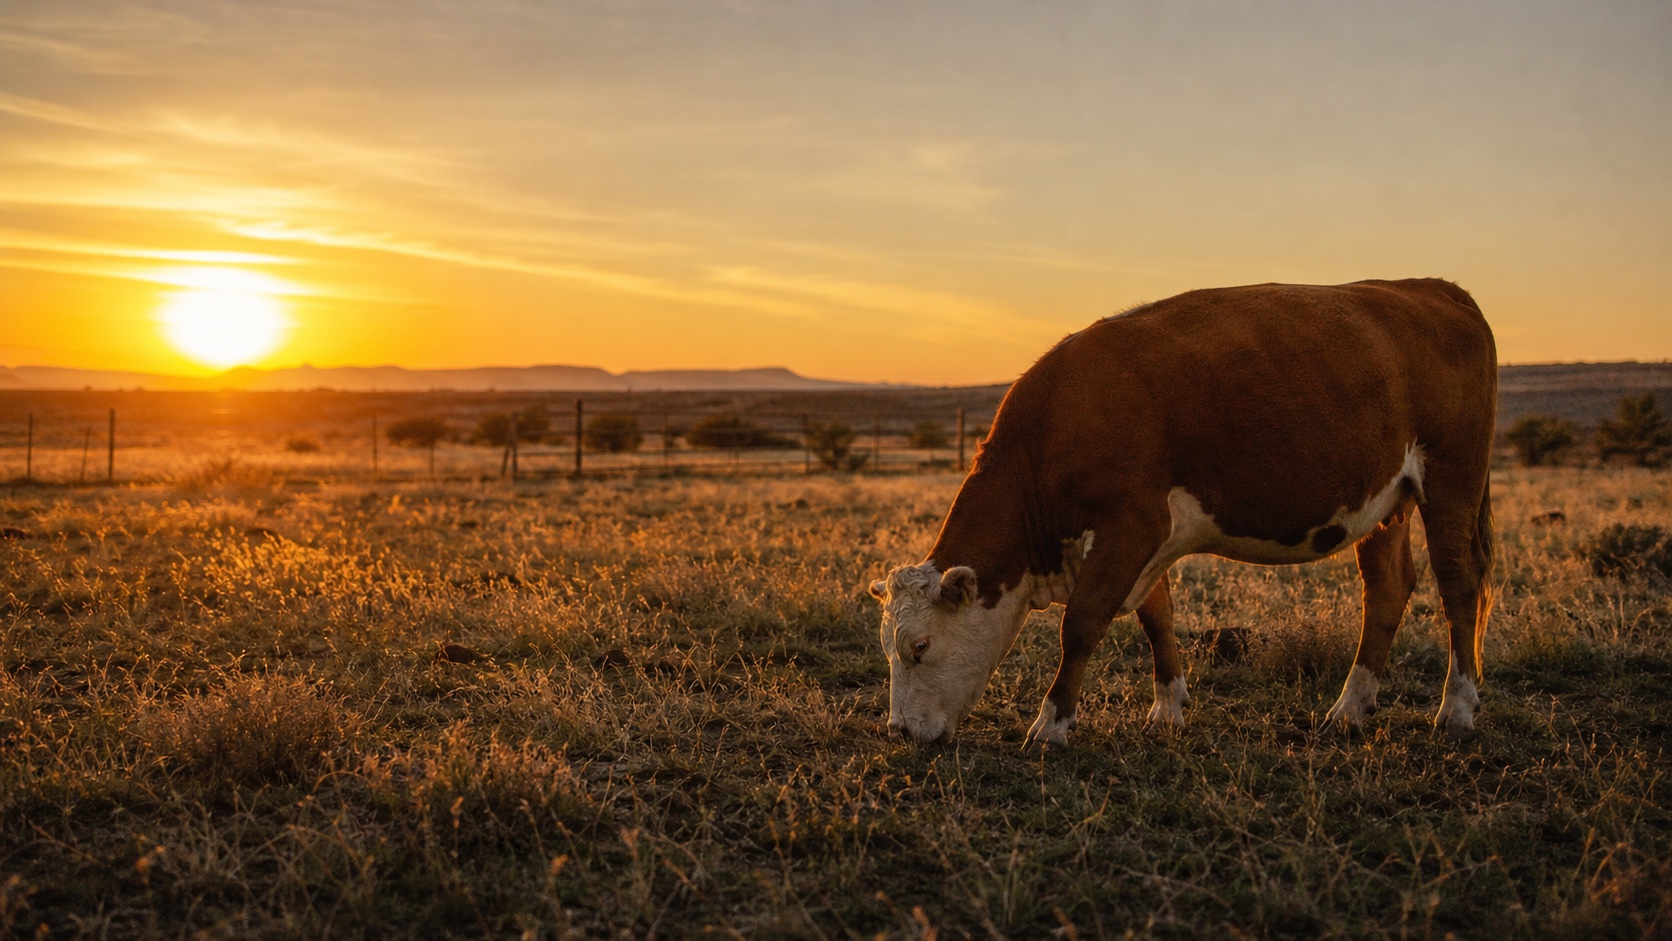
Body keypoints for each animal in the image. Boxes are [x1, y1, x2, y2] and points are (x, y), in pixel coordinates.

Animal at [869, 279, 1496, 746]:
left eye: (919, 646)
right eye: (886, 647)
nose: (899, 731)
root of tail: (1434, 288)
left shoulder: (1132, 524)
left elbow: (1082, 623)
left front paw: (1051, 725)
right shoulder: (1150, 538)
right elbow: (1157, 618)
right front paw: (1168, 708)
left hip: (1452, 478)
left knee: (1460, 584)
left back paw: (1458, 709)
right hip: (1385, 501)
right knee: (1387, 588)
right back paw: (1349, 708)